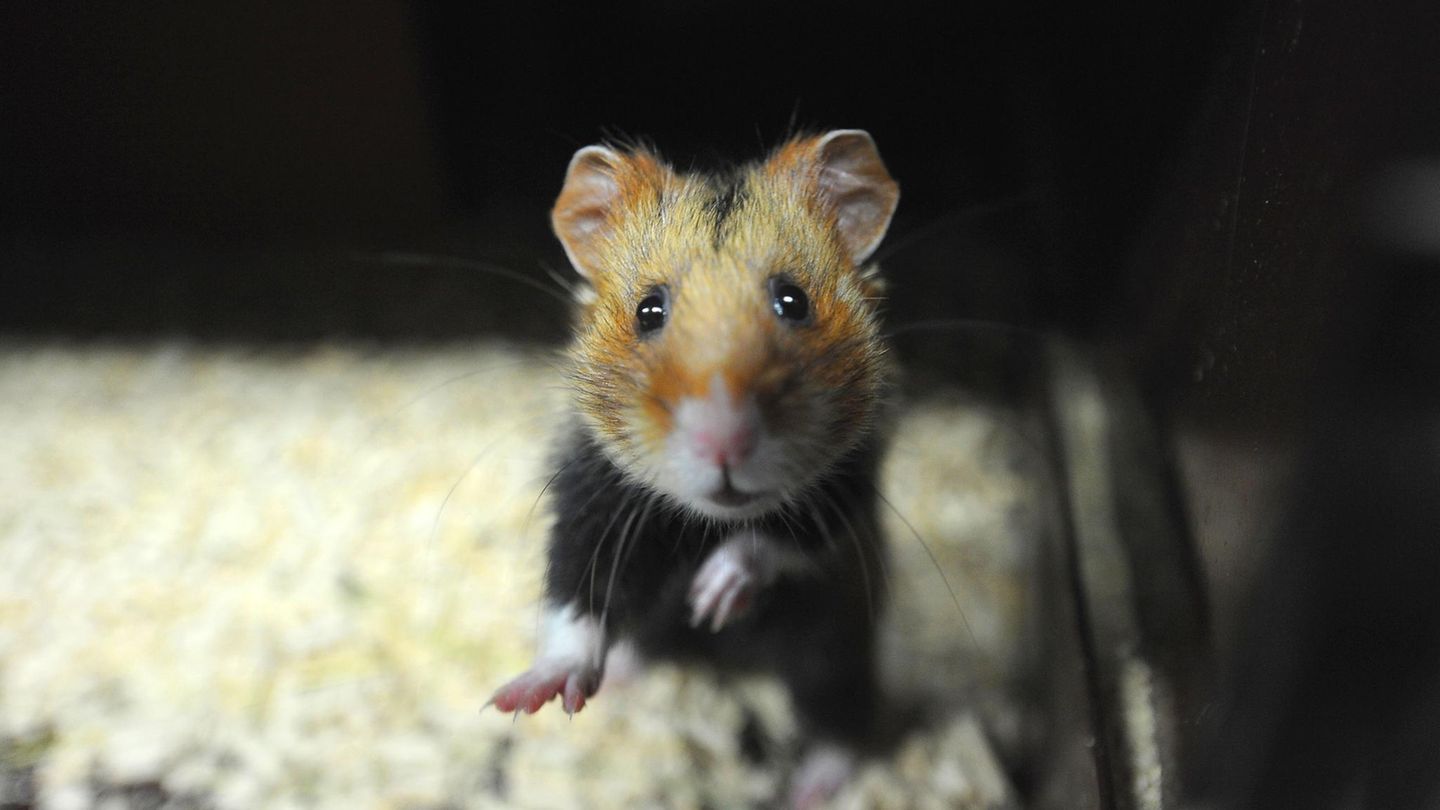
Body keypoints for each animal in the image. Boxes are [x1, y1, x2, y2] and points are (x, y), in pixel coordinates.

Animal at [490, 129, 901, 806]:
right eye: (649, 311)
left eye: (793, 302)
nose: (723, 445)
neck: (708, 519)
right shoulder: (591, 504)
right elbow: (574, 603)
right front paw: (525, 699)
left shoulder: (849, 492)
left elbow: (773, 542)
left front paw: (711, 597)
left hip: (834, 641)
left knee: (840, 713)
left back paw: (813, 786)